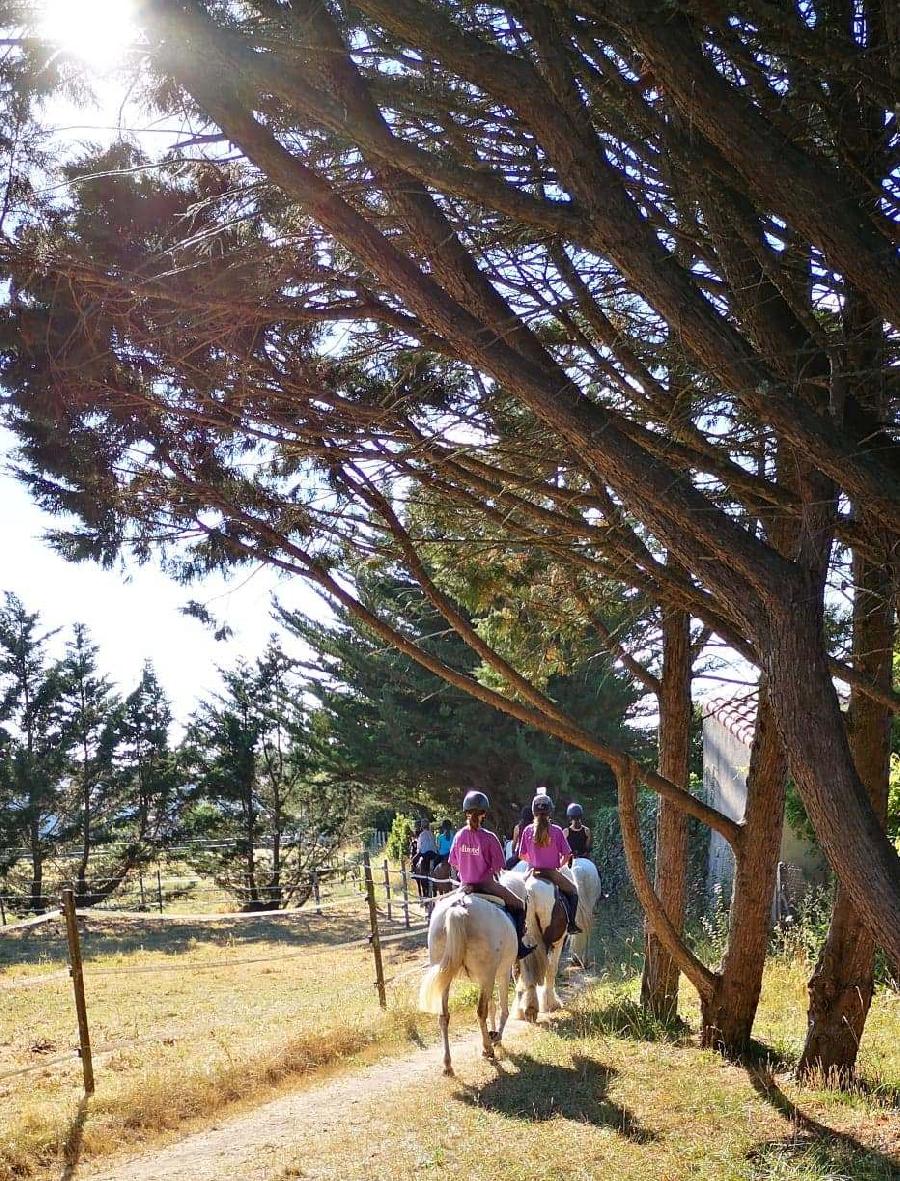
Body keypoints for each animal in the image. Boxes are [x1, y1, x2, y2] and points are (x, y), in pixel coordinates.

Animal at [418, 888, 514, 1077]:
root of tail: (458, 907)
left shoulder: (487, 979)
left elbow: (493, 1006)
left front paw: (493, 1034)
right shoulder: (501, 973)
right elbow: (502, 1008)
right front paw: (496, 1037)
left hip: (445, 976)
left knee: (444, 1017)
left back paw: (448, 1065)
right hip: (487, 975)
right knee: (481, 1012)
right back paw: (487, 1049)